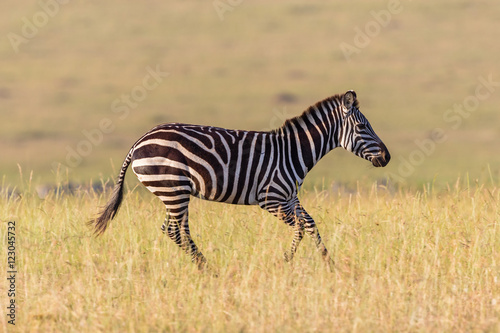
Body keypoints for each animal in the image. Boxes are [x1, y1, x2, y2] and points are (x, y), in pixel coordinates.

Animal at [91, 90, 390, 270]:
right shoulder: (271, 198)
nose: (387, 157)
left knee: (171, 230)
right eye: (362, 126)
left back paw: (203, 266)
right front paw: (286, 262)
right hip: (174, 189)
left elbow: (310, 224)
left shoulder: (290, 197)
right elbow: (301, 226)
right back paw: (208, 269)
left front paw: (329, 264)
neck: (293, 151)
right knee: (179, 231)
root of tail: (139, 141)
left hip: (172, 192)